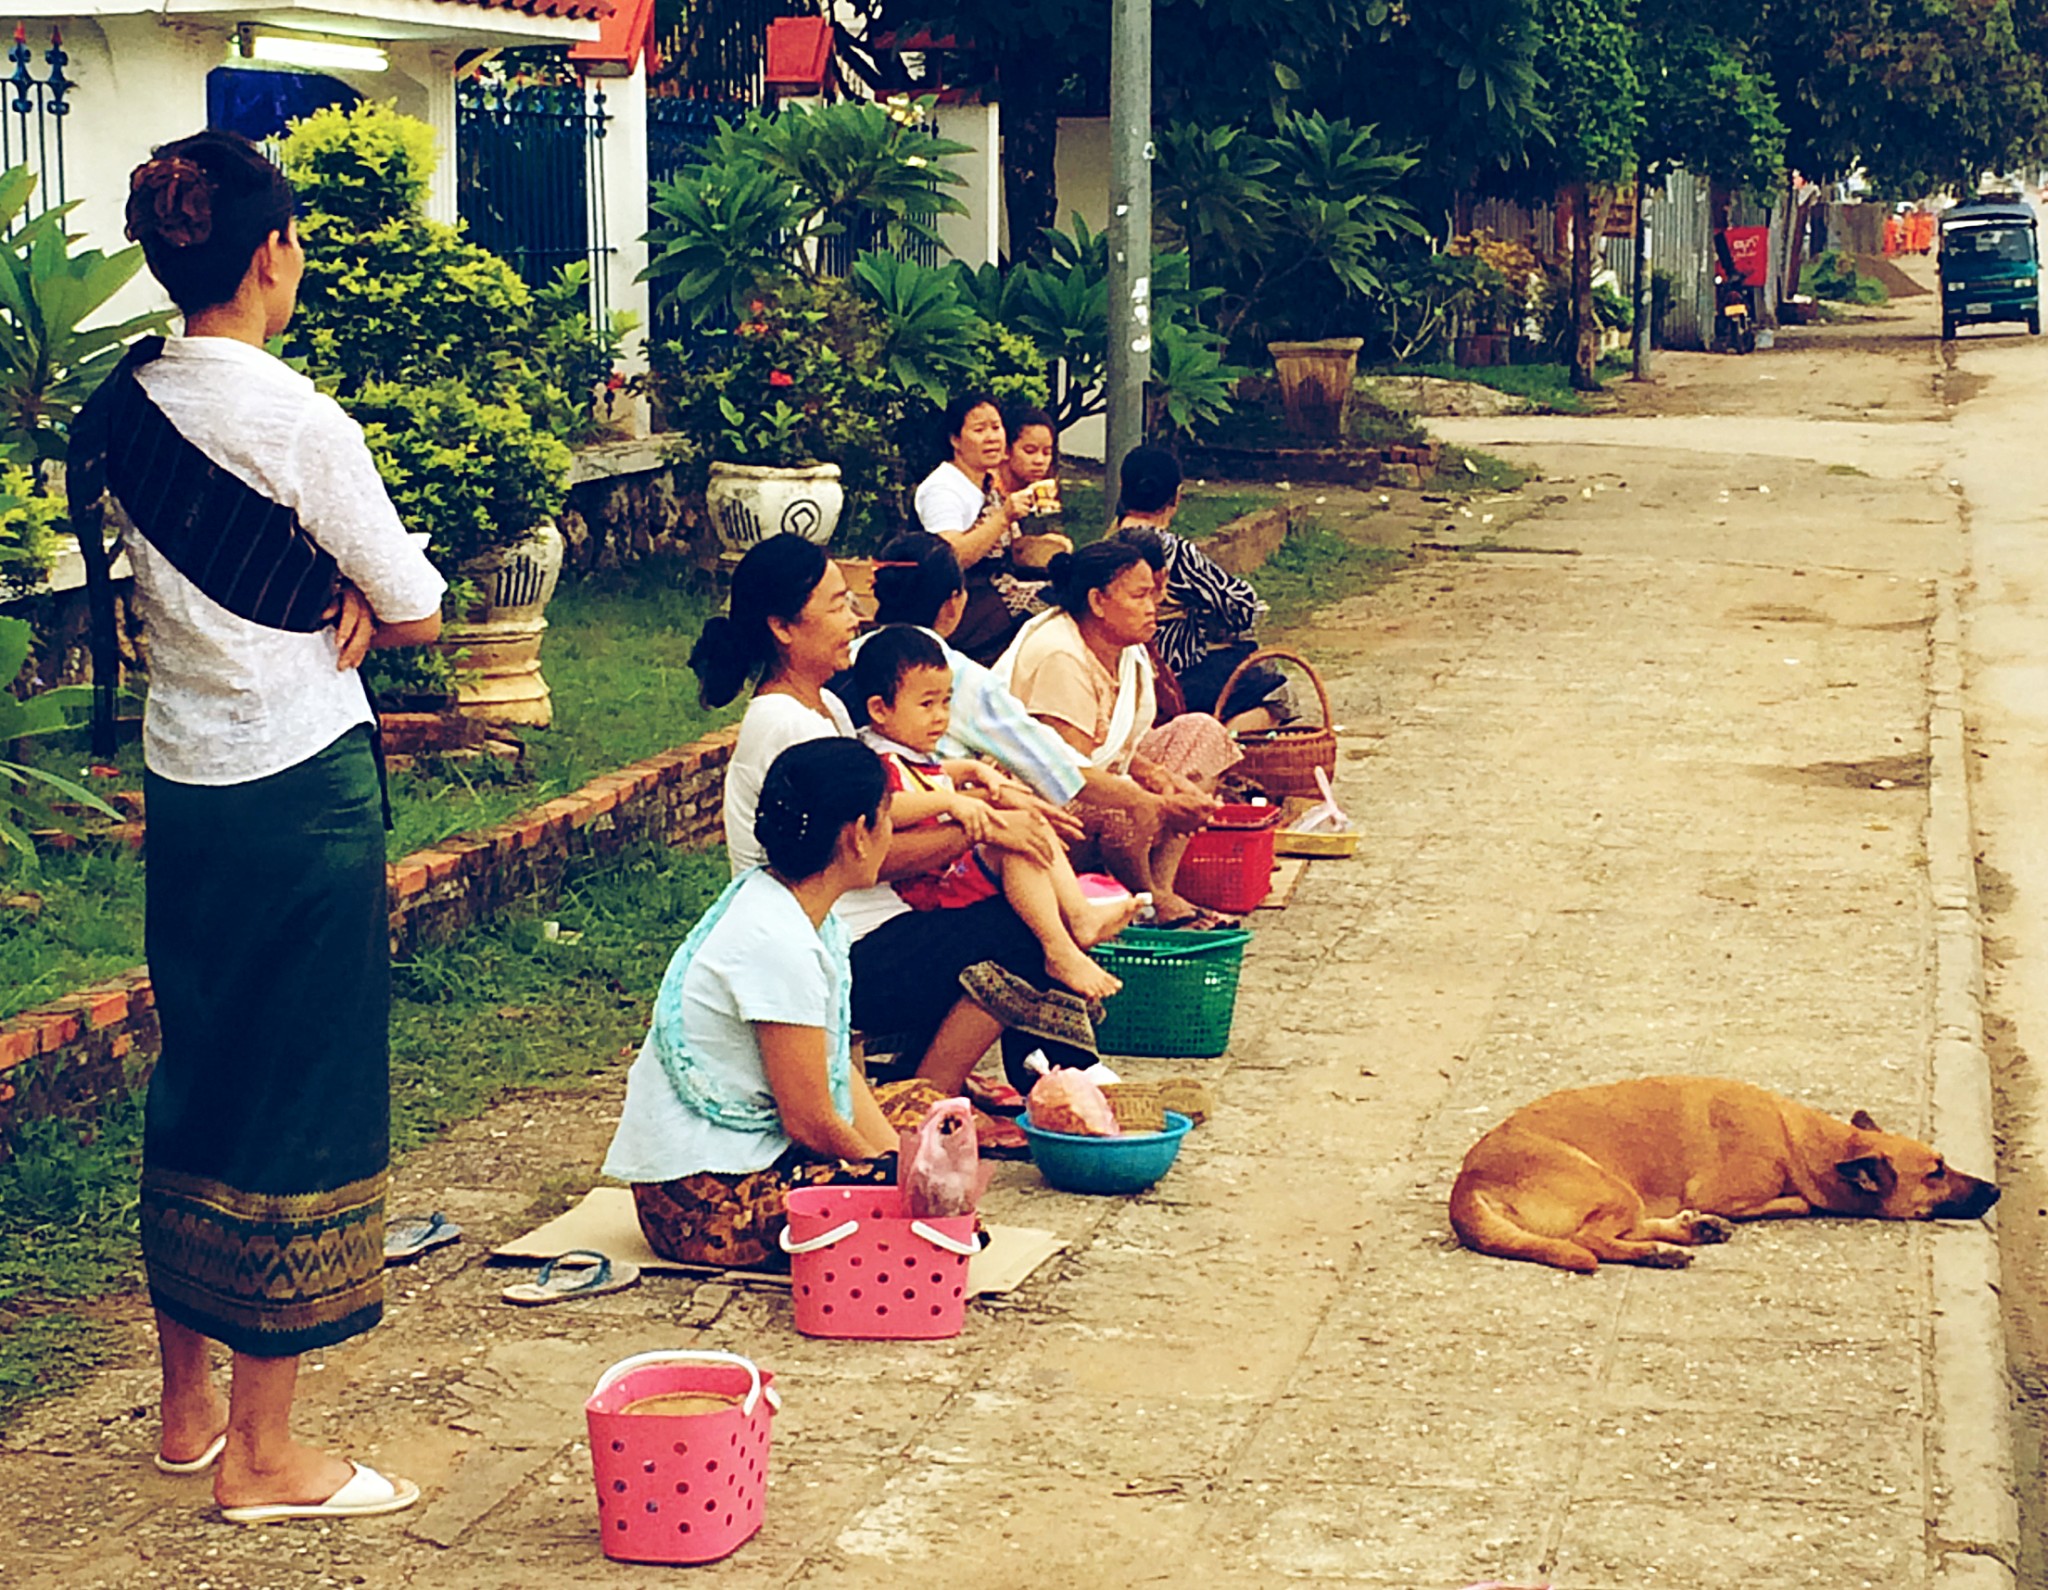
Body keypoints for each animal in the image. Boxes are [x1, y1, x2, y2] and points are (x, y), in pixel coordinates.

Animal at [1458, 1073, 1998, 1270]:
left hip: (1624, 1193)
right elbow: (1799, 1201)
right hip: (1610, 1187)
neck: (1801, 1138)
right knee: (1592, 1240)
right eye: (1935, 1173)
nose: (1995, 1189)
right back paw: (1660, 1252)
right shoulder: (1732, 1192)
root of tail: (1468, 1183)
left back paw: (1688, 1232)